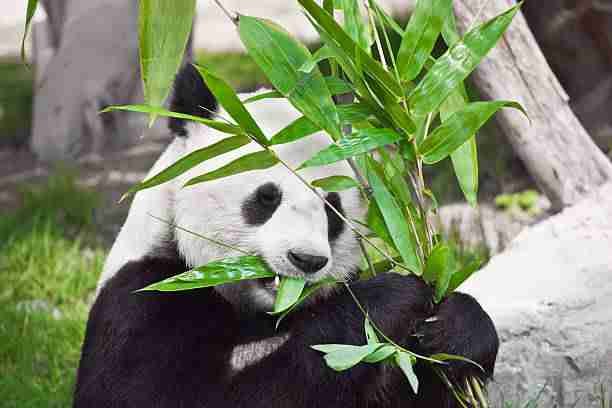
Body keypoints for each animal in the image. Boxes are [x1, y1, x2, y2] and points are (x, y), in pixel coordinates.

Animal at [74, 65, 500, 406]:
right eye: (267, 197)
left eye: (332, 209)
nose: (306, 260)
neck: (266, 313)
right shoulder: (147, 298)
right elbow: (148, 395)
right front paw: (390, 298)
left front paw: (458, 328)